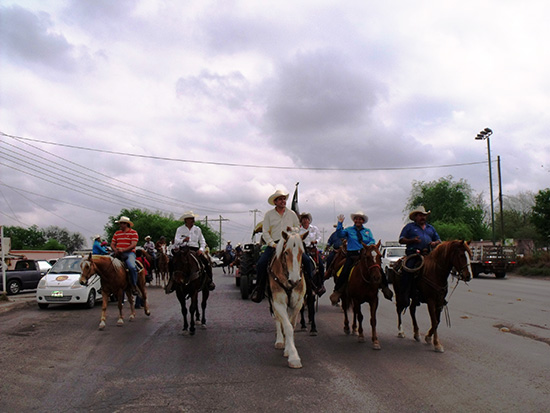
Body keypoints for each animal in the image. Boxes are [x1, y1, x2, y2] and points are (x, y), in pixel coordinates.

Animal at [268, 227, 308, 368]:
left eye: (302, 252)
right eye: (286, 252)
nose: (295, 280)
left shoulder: (298, 303)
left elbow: (291, 324)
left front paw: (288, 349)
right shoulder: (278, 302)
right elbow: (287, 327)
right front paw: (293, 357)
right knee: (277, 319)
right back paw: (280, 341)